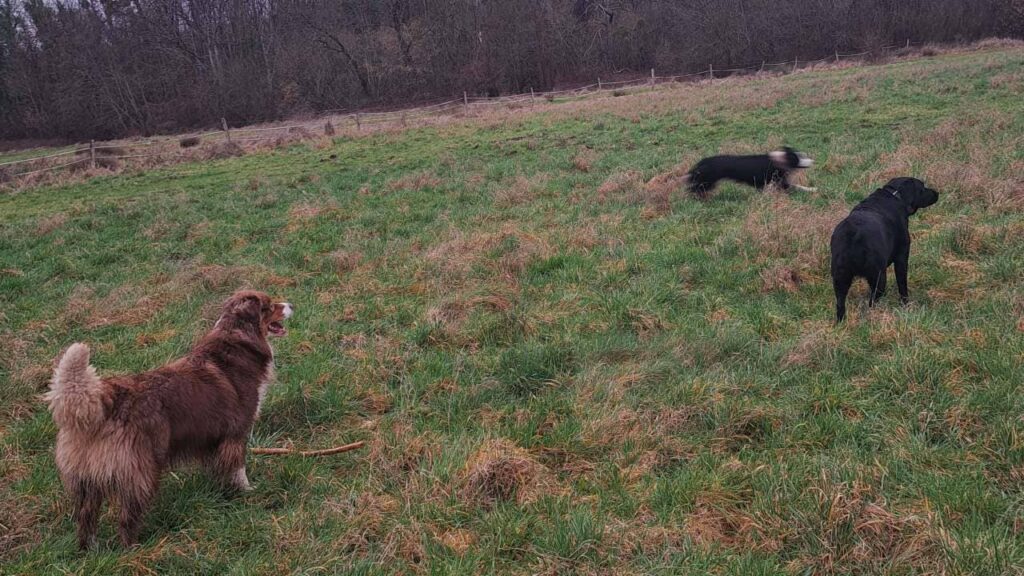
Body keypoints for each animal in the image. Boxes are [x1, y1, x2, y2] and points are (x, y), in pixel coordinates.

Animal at [46, 289, 294, 545]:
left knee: (86, 518)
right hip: (141, 472)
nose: (291, 305)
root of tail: (106, 397)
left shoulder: (212, 440)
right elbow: (238, 468)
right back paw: (134, 547)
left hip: (88, 481)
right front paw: (246, 491)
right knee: (127, 517)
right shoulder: (236, 432)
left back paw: (91, 548)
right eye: (268, 306)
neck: (237, 337)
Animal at [684, 145, 819, 196]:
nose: (813, 161)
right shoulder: (780, 181)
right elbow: (797, 186)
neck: (781, 160)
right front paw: (813, 189)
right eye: (799, 158)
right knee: (693, 188)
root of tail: (703, 161)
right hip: (707, 181)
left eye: (803, 156)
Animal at [827, 176, 937, 317]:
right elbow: (902, 286)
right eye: (922, 188)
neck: (895, 196)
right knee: (872, 302)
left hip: (840, 279)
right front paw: (906, 306)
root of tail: (853, 234)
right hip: (879, 278)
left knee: (840, 305)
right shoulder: (902, 258)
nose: (937, 193)